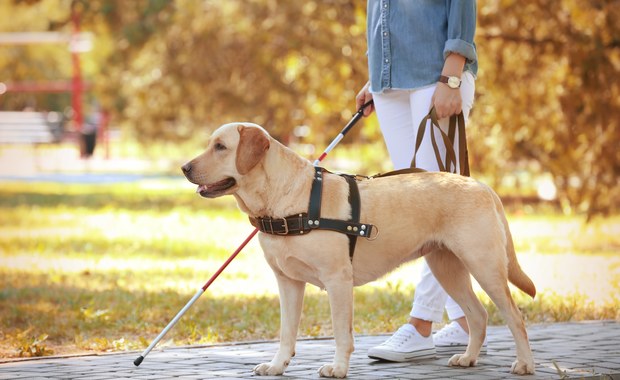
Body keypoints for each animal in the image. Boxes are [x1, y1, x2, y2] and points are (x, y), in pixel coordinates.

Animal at [182, 122, 536, 378]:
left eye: (220, 147)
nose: (185, 167)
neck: (285, 199)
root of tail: (483, 186)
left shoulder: (338, 281)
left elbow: (342, 333)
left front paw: (338, 368)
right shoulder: (288, 282)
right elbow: (286, 333)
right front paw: (278, 365)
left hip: (484, 265)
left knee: (515, 316)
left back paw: (525, 364)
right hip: (446, 267)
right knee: (478, 315)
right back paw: (468, 358)